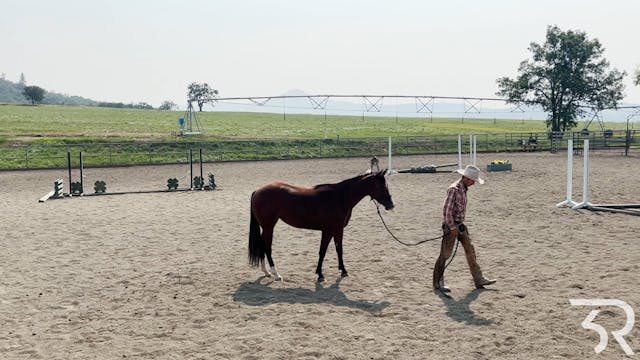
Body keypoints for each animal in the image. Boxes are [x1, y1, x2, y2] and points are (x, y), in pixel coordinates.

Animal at [248, 170, 392, 282]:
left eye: (386, 185)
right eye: (380, 186)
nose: (391, 205)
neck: (339, 198)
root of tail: (257, 191)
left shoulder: (338, 229)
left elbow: (339, 250)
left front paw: (343, 271)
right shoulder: (327, 231)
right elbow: (322, 251)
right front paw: (320, 274)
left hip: (266, 227)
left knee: (262, 245)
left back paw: (266, 272)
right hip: (269, 227)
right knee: (267, 247)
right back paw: (276, 274)